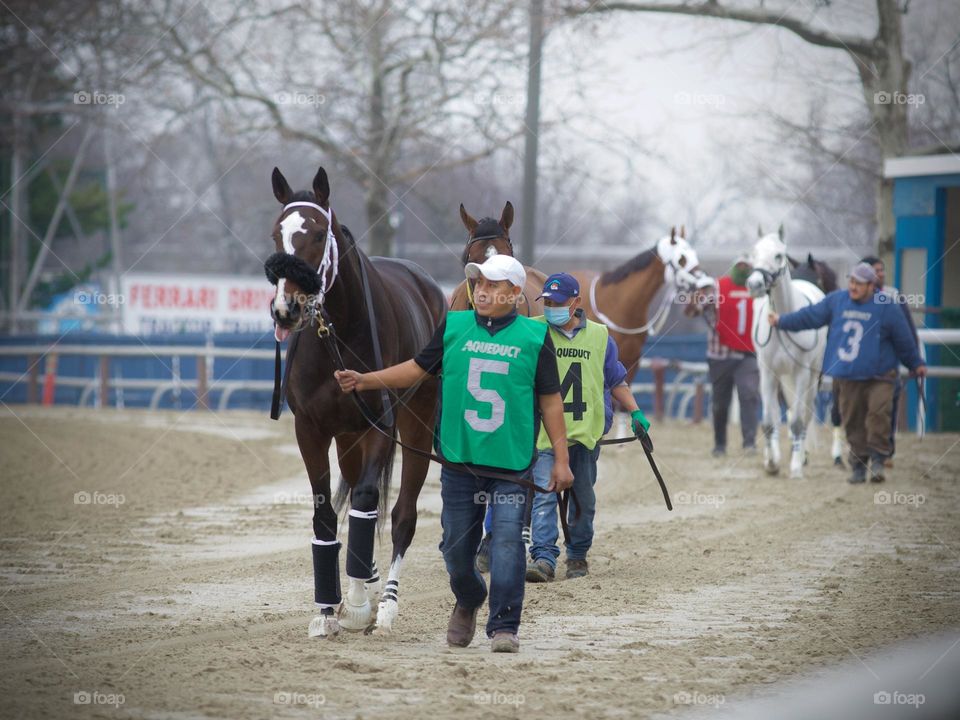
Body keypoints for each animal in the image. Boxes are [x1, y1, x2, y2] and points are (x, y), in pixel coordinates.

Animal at [266, 167, 446, 636]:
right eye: (277, 234)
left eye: (316, 233)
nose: (285, 309)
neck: (339, 334)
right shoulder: (311, 429)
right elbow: (325, 514)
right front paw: (328, 608)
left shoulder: (380, 424)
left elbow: (366, 502)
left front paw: (363, 606)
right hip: (348, 437)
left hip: (416, 424)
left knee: (401, 515)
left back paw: (385, 603)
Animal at [748, 228, 828, 480]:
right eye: (754, 253)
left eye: (778, 255)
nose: (754, 284)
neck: (782, 321)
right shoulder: (767, 373)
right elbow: (768, 421)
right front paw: (772, 463)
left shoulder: (801, 373)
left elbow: (798, 422)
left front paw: (795, 467)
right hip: (780, 378)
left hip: (812, 376)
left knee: (804, 414)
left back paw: (799, 457)